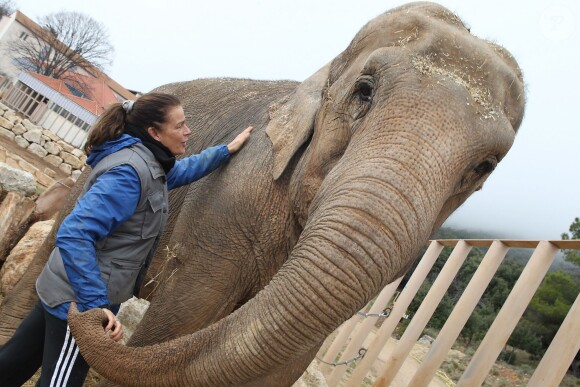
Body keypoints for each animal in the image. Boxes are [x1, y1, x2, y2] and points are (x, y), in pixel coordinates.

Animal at [2, 1, 524, 386]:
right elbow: (181, 320)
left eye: (485, 167)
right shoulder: (226, 211)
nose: (94, 319)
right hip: (85, 186)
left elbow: (282, 365)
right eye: (365, 91)